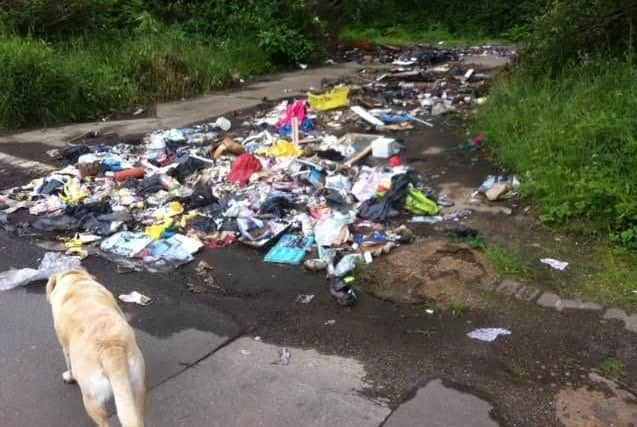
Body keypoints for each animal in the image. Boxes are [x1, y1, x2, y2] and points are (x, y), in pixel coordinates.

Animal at [47, 272, 147, 426]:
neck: (76, 282)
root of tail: (110, 349)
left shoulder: (65, 347)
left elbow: (68, 364)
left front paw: (69, 377)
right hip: (138, 389)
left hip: (91, 399)